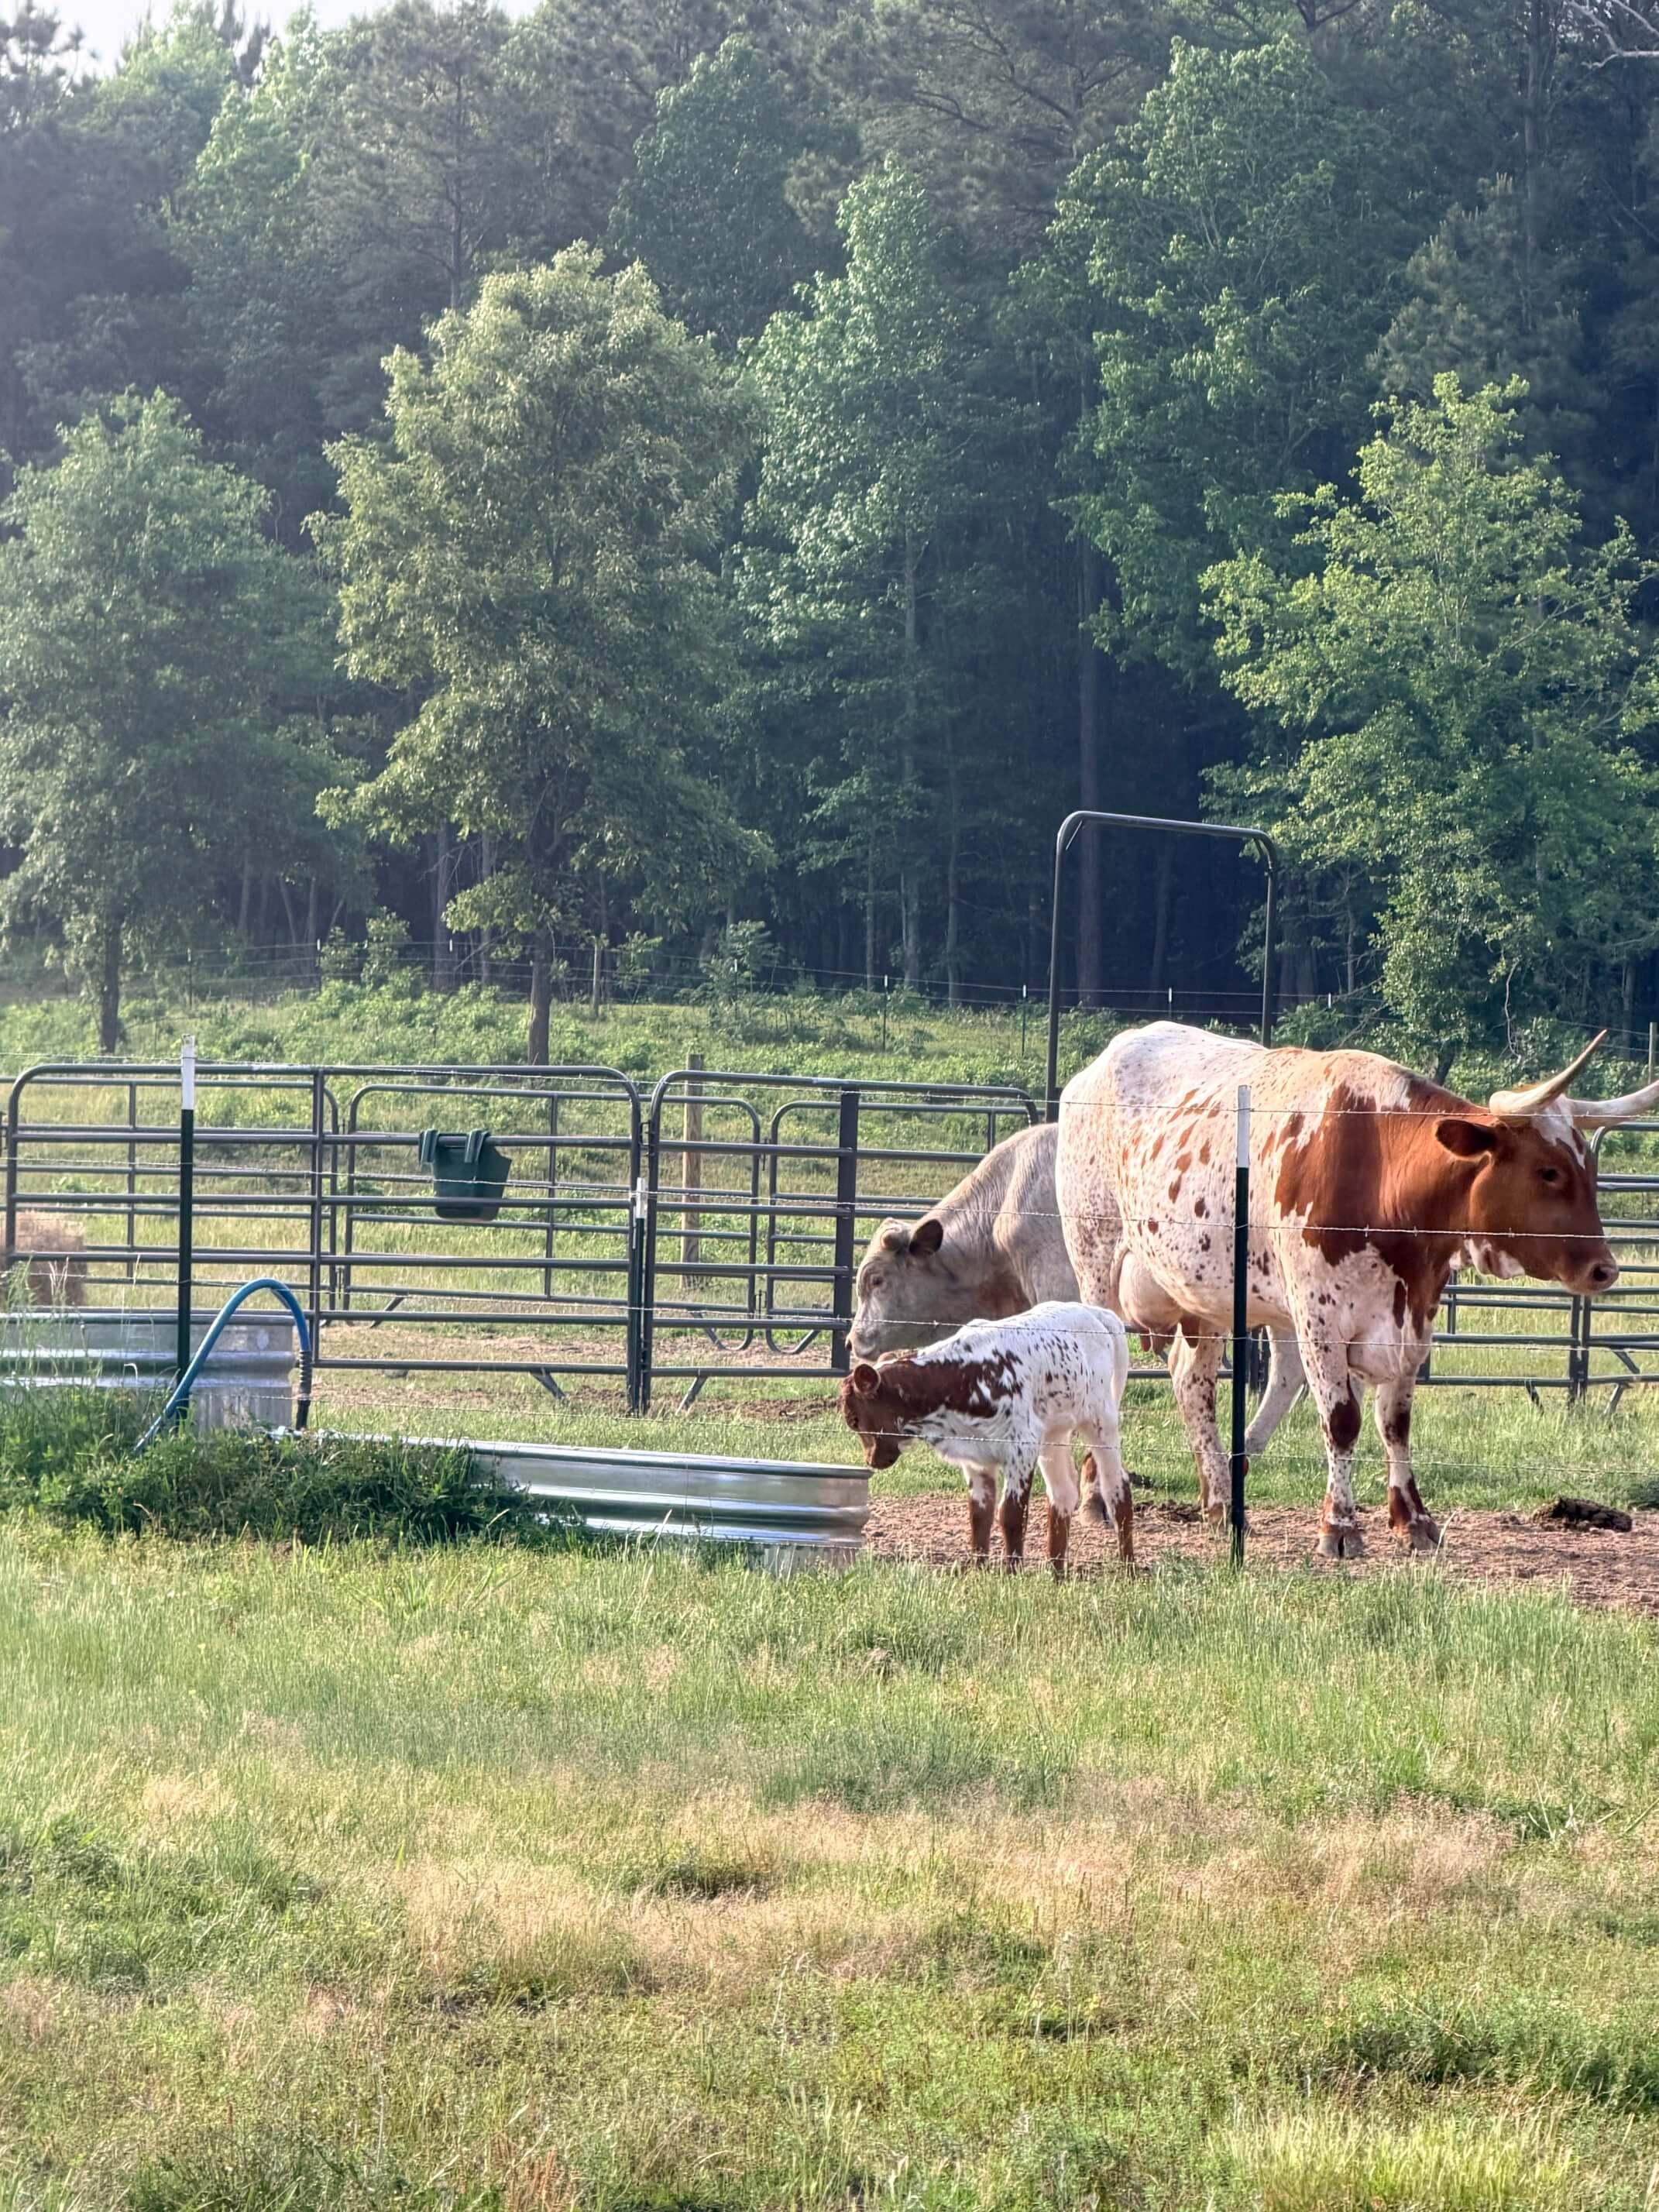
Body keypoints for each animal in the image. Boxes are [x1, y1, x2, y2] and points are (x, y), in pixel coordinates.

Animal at [838, 1302, 1136, 1574]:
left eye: (854, 1419)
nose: (872, 1460)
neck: (963, 1377)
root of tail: (1098, 1314)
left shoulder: (1022, 1448)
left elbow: (1012, 1514)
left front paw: (1012, 1573)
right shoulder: (975, 1458)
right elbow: (980, 1515)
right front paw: (979, 1570)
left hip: (1101, 1422)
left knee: (1117, 1489)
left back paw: (1128, 1568)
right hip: (1055, 1435)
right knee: (1062, 1495)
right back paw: (1056, 1574)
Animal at [1057, 1022, 1647, 1559]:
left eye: (1589, 1169)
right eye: (1548, 1171)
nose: (1604, 1270)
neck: (1382, 1173)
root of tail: (1094, 1067)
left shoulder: (1412, 1316)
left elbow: (1395, 1422)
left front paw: (1413, 1520)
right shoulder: (1321, 1318)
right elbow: (1342, 1420)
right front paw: (1339, 1527)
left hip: (1204, 1294)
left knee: (1193, 1381)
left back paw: (1222, 1498)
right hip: (1097, 1262)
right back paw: (1099, 1497)